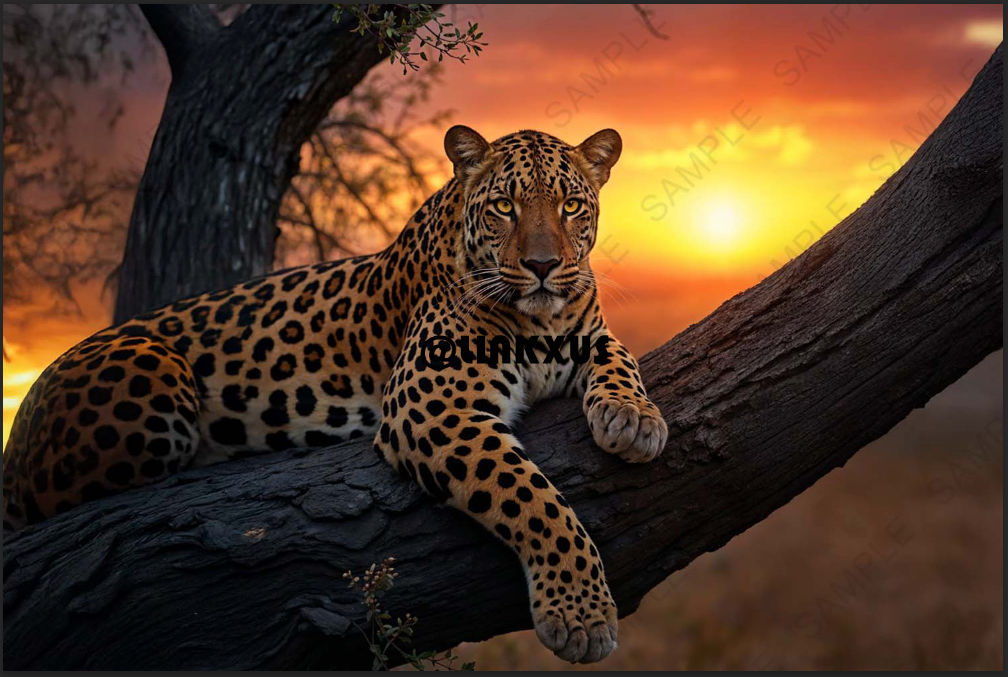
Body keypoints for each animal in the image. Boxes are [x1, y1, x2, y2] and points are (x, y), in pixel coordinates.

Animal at [3, 125, 668, 663]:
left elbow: (619, 359)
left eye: (571, 205)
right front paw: (580, 614)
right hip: (153, 366)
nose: (543, 266)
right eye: (505, 206)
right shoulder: (431, 406)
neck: (541, 323)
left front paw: (634, 419)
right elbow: (534, 500)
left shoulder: (587, 332)